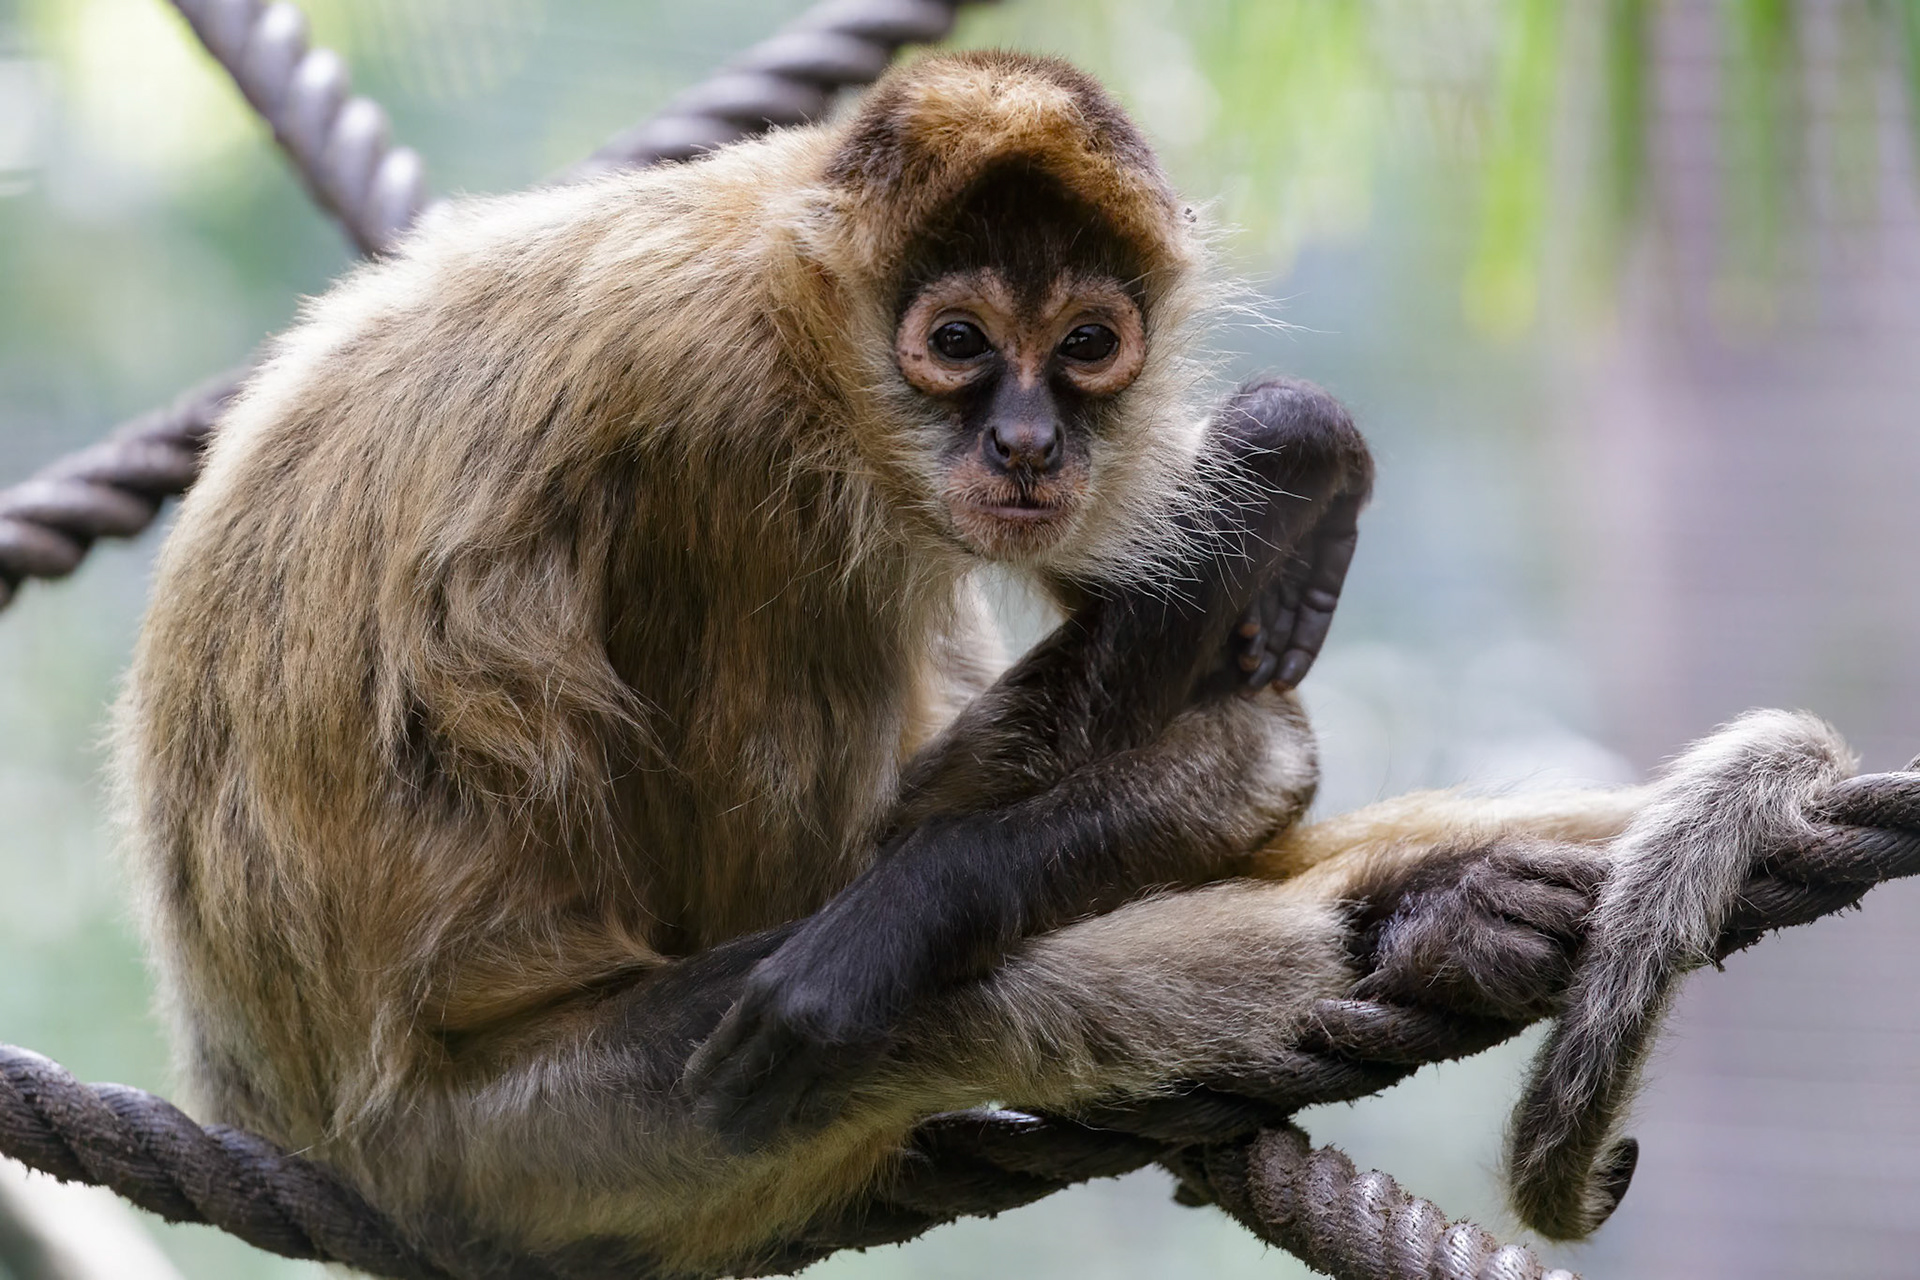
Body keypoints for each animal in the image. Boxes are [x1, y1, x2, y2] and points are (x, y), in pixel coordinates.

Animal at [110, 50, 1920, 1275]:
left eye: (1090, 347)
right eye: (961, 344)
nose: (1032, 438)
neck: (772, 267)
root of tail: (260, 1080)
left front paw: (1281, 474)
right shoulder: (727, 414)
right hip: (525, 1144)